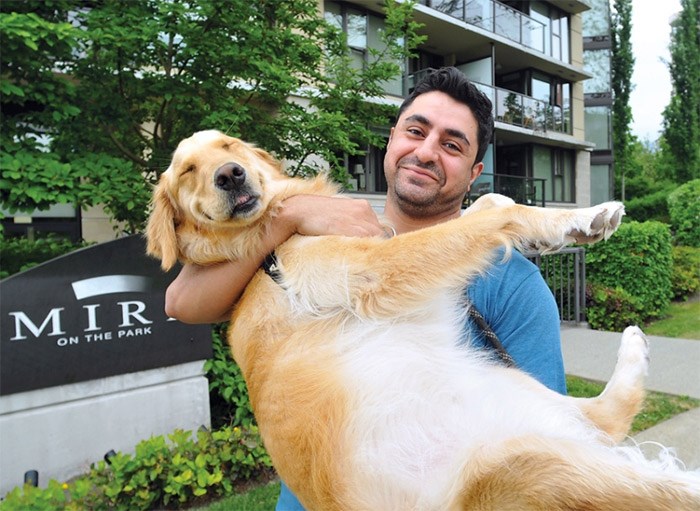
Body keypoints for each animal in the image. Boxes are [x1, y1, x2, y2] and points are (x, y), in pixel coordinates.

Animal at [148, 131, 700, 511]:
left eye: (229, 145)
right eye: (188, 171)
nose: (230, 174)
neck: (267, 248)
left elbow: (486, 203)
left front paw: (558, 228)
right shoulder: (374, 267)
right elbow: (495, 215)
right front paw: (572, 219)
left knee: (609, 415)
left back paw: (634, 345)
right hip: (527, 466)